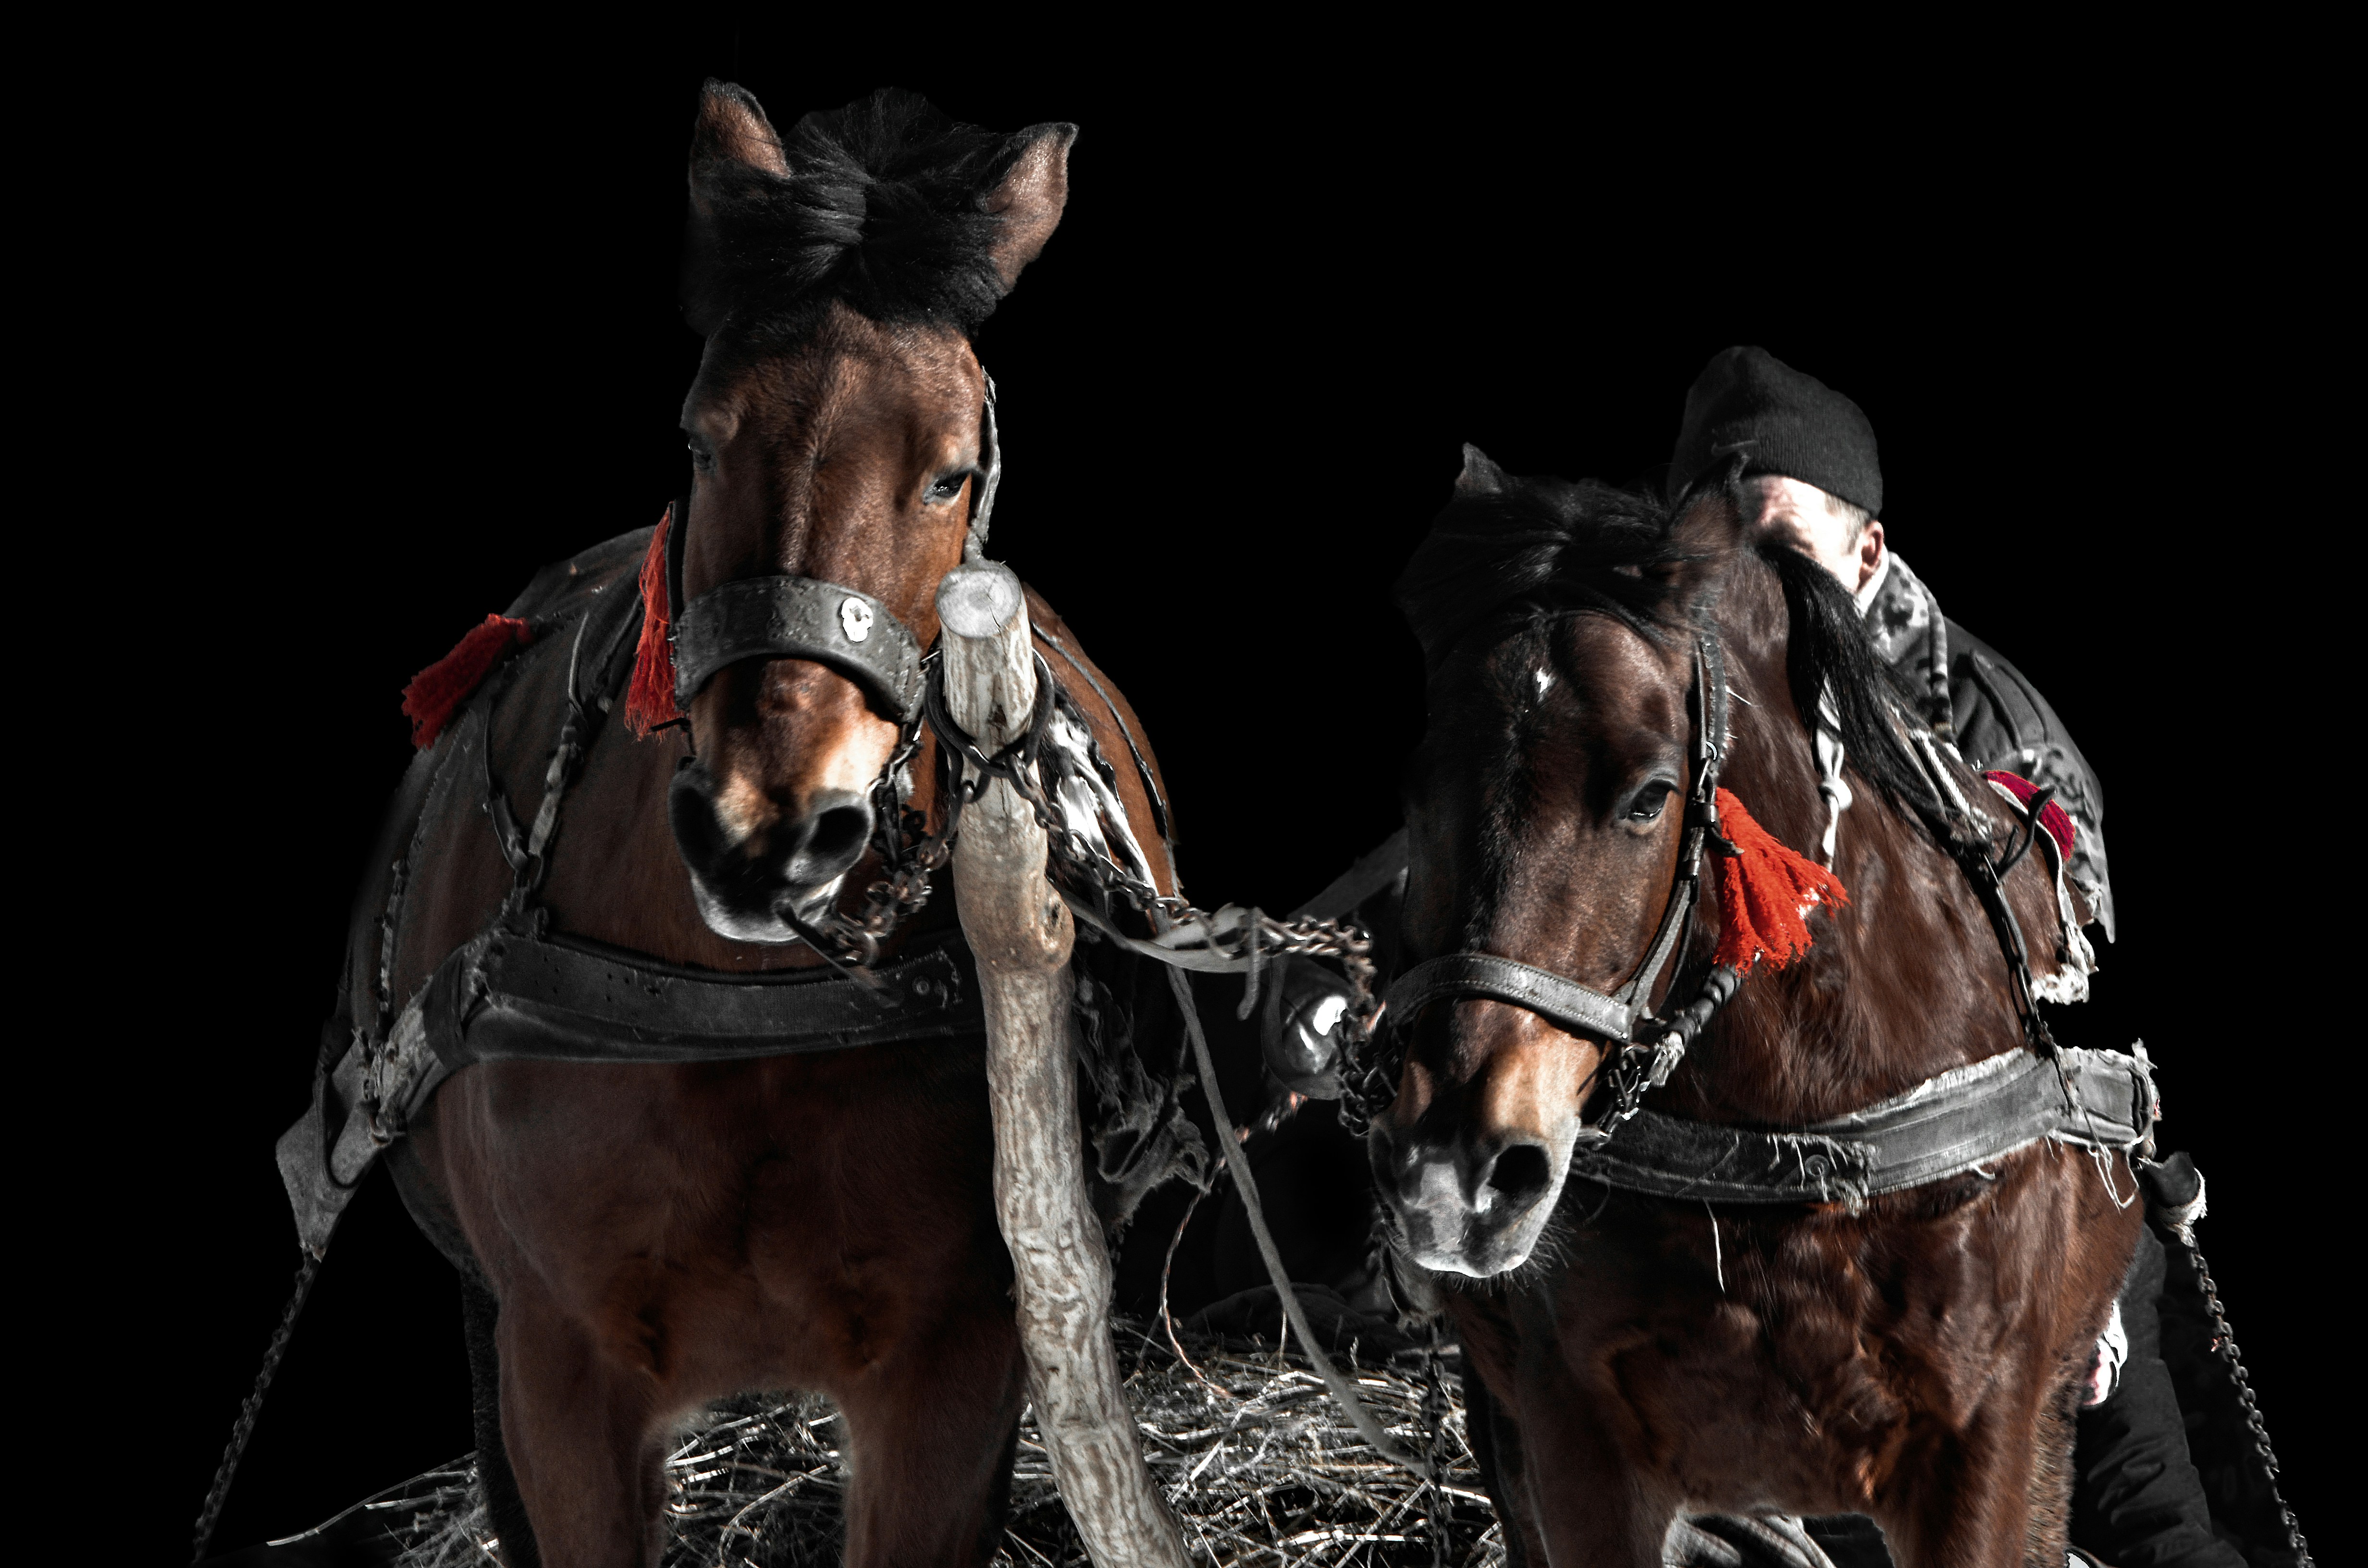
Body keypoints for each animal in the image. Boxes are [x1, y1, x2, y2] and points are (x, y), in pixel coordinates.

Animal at [333, 84, 1194, 1568]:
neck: (750, 1014)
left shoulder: (951, 1375)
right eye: (700, 434)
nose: (767, 831)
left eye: (950, 472)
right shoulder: (557, 1376)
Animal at [1365, 452, 2146, 1565]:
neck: (1816, 1141)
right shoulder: (1571, 1440)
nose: (1455, 1164)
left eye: (1647, 795)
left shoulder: (1986, 1445)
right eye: (1416, 790)